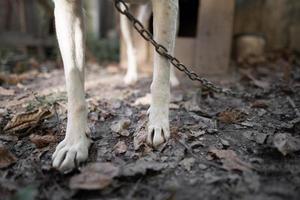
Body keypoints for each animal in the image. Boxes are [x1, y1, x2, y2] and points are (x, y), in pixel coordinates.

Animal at [51, 0, 178, 172]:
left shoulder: (168, 5)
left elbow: (162, 69)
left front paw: (158, 121)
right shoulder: (67, 7)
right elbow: (74, 82)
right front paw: (74, 143)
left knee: (166, 52)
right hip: (128, 19)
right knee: (134, 47)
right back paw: (131, 75)